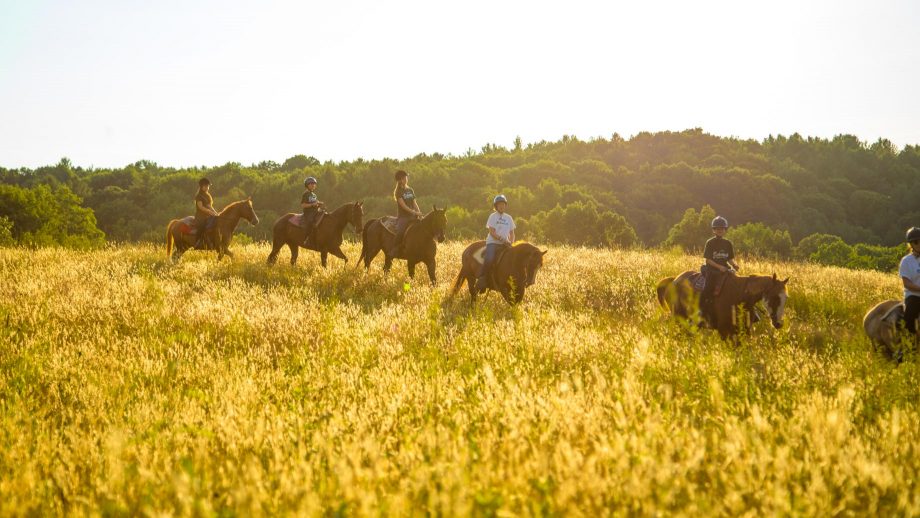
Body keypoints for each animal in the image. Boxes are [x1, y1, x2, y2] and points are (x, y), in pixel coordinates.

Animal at [656, 272, 792, 342]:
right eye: (775, 297)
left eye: (786, 298)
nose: (779, 323)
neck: (740, 295)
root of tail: (674, 280)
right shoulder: (724, 331)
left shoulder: (745, 331)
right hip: (680, 319)